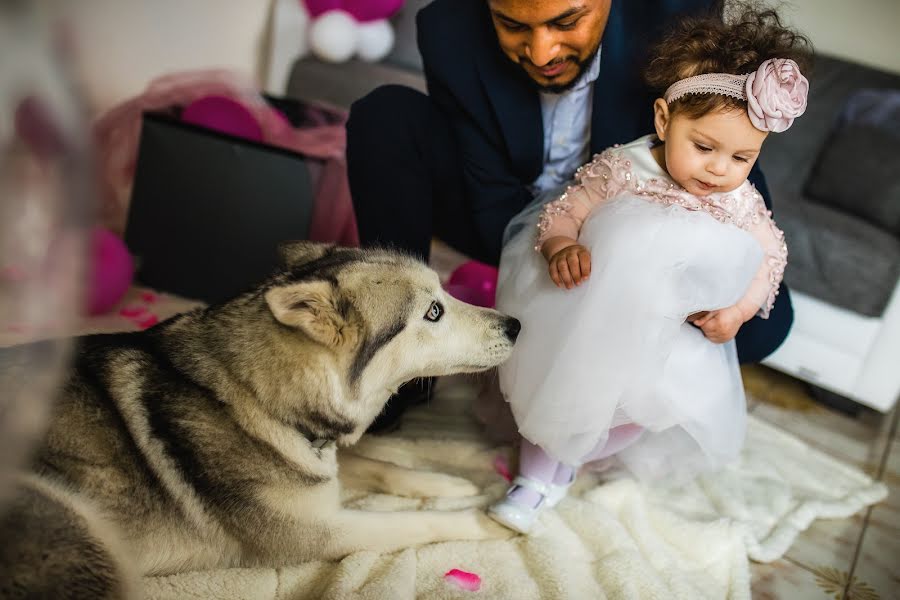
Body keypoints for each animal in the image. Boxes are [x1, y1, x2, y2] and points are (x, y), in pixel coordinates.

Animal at [0, 241, 520, 596]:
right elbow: (415, 524)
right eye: (433, 311)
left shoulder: (315, 463)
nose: (516, 324)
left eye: (444, 294)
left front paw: (444, 482)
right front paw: (487, 519)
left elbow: (376, 464)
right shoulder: (317, 533)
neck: (251, 395)